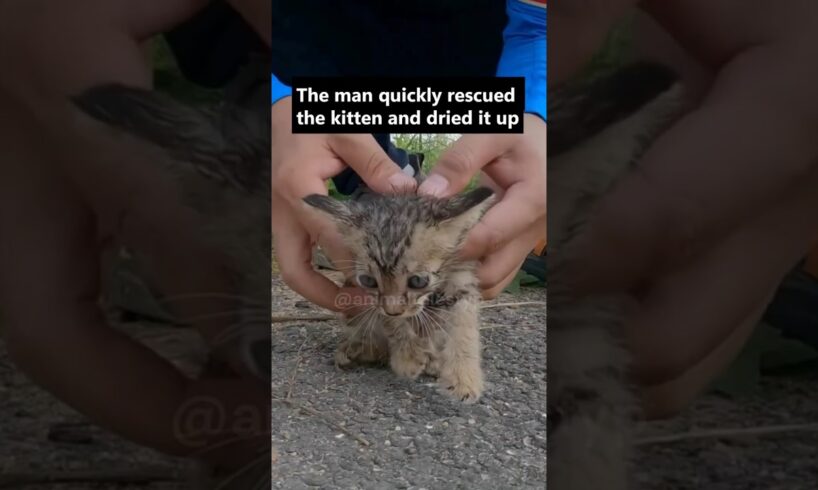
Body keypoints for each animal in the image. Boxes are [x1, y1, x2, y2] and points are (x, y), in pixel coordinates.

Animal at [300, 186, 490, 404]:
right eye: (368, 281)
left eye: (418, 281)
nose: (393, 310)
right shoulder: (374, 301)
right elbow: (392, 323)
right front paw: (408, 355)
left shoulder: (462, 278)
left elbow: (464, 327)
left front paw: (463, 377)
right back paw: (358, 351)